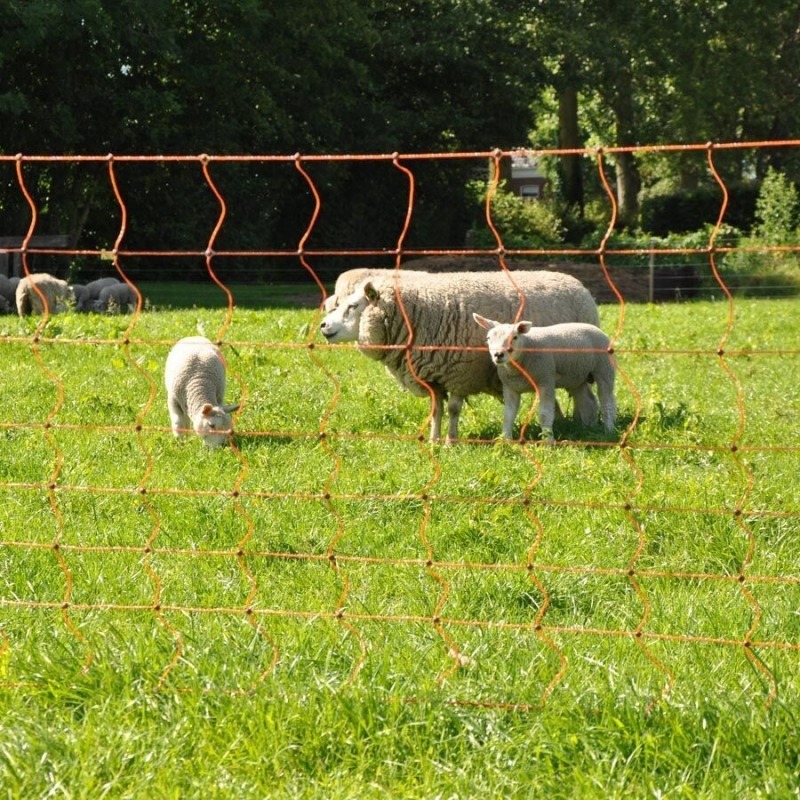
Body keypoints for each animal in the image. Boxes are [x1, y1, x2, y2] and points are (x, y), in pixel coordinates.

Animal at [318, 270, 600, 444]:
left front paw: (451, 441)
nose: (323, 326)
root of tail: (579, 285)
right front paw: (434, 440)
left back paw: (585, 427)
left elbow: (453, 409)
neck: (414, 317)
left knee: (586, 397)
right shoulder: (432, 376)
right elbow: (436, 411)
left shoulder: (460, 373)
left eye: (353, 306)